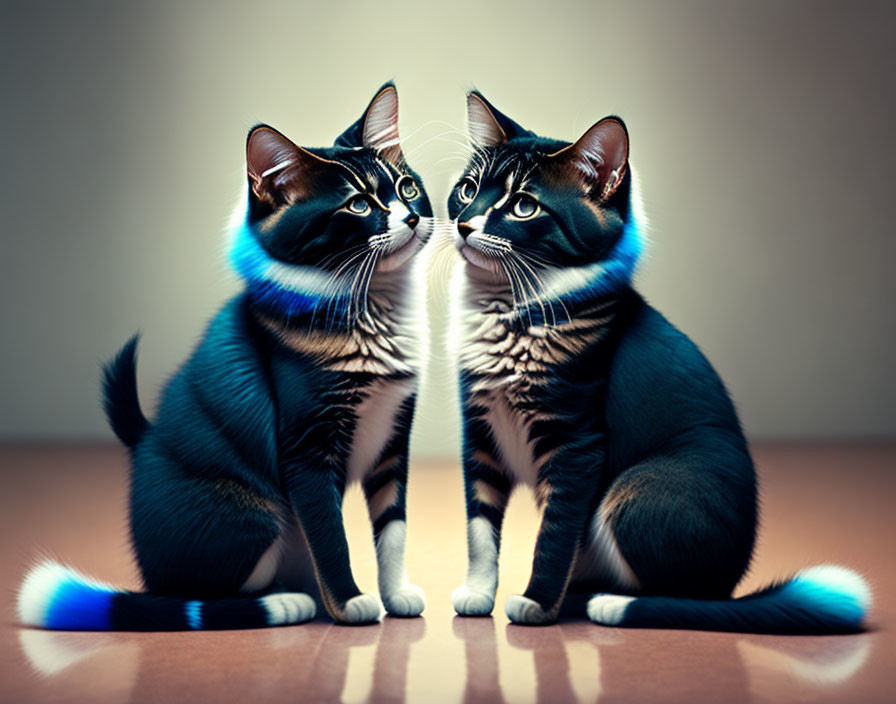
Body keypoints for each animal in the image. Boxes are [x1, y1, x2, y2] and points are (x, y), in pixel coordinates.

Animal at [16, 84, 430, 632]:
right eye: (358, 204)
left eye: (407, 187)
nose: (412, 216)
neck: (372, 307)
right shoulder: (306, 447)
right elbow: (329, 532)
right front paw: (350, 603)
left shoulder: (394, 437)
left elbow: (393, 527)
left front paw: (397, 593)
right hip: (255, 513)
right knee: (202, 595)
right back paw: (289, 602)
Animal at [448, 89, 868, 632]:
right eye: (467, 190)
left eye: (524, 206)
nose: (463, 224)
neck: (507, 308)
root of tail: (728, 588)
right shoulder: (479, 432)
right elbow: (480, 527)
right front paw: (478, 594)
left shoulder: (578, 442)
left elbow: (555, 533)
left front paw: (537, 604)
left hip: (641, 489)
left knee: (674, 593)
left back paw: (602, 603)